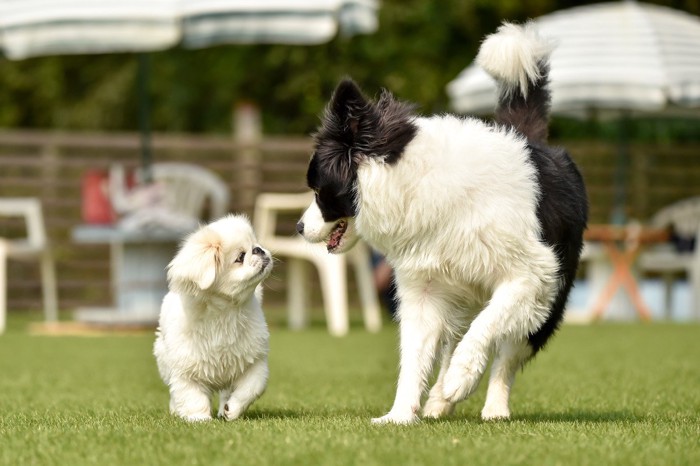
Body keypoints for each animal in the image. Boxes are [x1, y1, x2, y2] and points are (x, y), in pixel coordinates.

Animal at [154, 215, 274, 422]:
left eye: (255, 244)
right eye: (240, 257)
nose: (258, 249)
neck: (225, 313)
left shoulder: (254, 362)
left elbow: (250, 389)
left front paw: (231, 410)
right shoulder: (186, 371)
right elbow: (192, 397)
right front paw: (199, 419)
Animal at [298, 21, 588, 424]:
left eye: (317, 190)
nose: (298, 227)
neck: (414, 182)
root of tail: (531, 139)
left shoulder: (534, 275)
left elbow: (489, 326)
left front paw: (462, 378)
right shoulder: (424, 289)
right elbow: (414, 358)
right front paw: (400, 415)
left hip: (547, 303)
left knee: (507, 353)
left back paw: (493, 407)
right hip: (461, 292)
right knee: (454, 340)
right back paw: (438, 401)